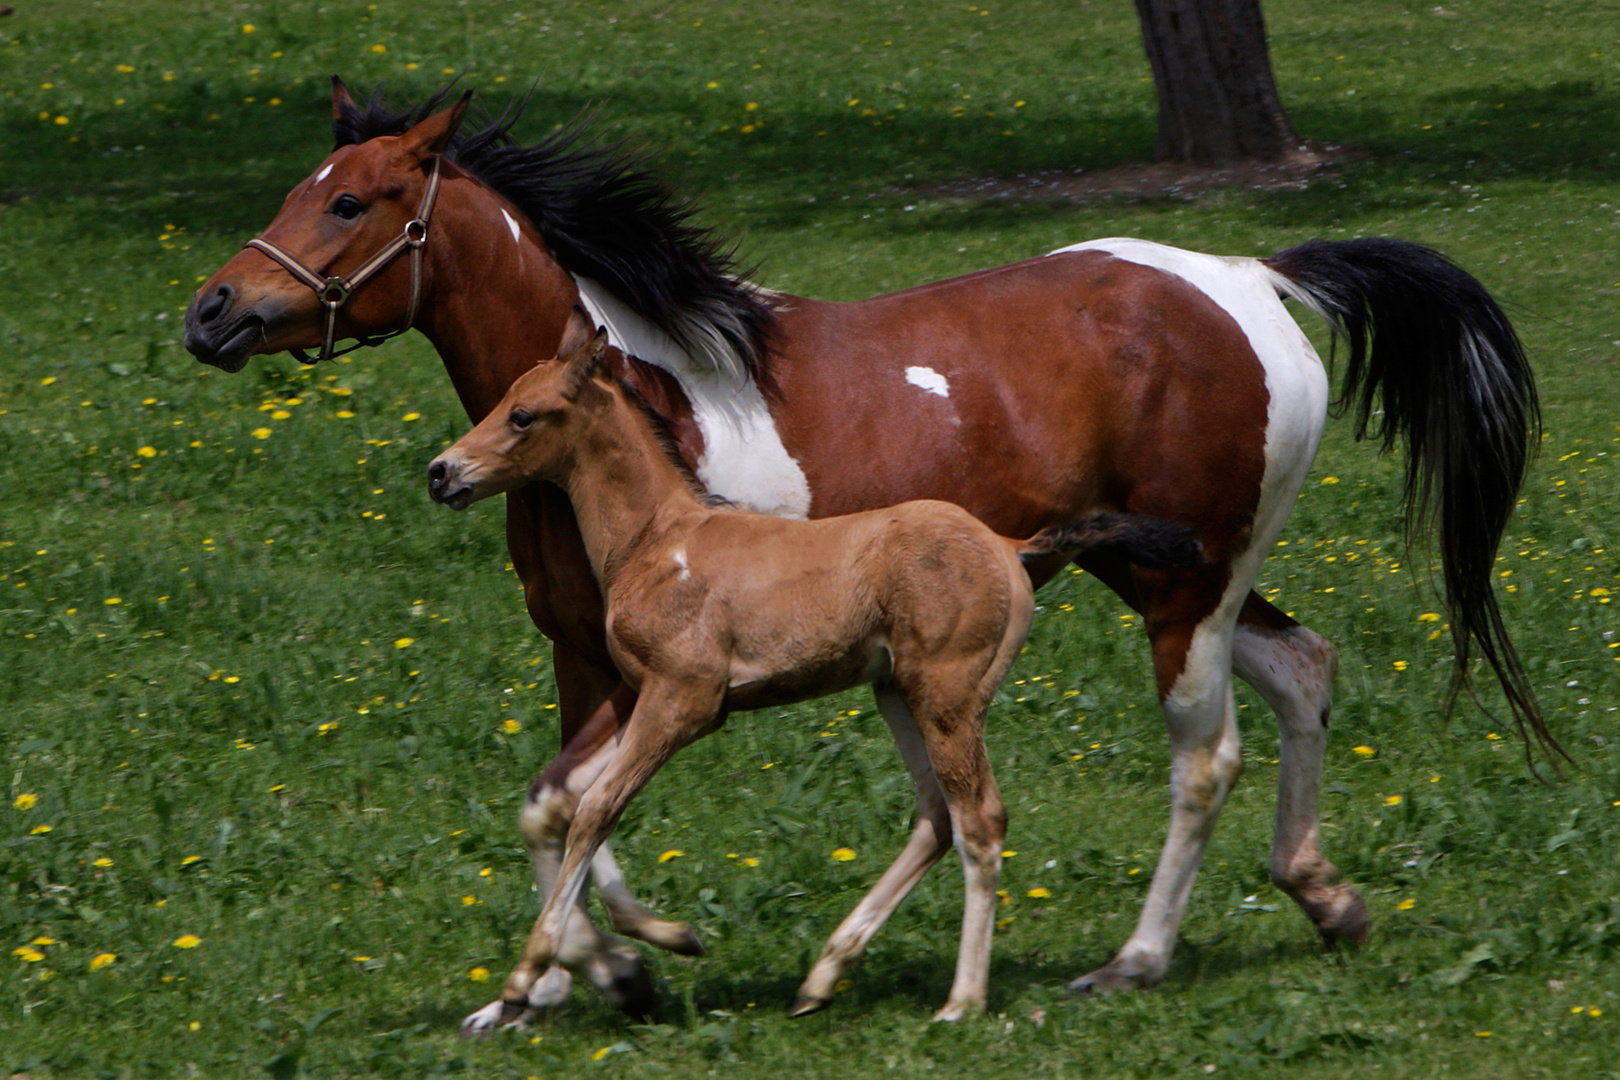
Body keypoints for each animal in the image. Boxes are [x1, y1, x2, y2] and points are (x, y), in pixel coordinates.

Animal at [183, 84, 1548, 1029]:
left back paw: (1131, 962)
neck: (644, 405)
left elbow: (575, 805)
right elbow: (556, 806)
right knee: (1305, 668)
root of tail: (1258, 274)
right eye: (305, 185)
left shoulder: (664, 676)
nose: (212, 313)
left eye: (349, 201)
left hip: (1179, 591)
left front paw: (617, 963)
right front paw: (578, 979)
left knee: (1202, 756)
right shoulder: (584, 657)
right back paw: (1325, 895)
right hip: (1170, 569)